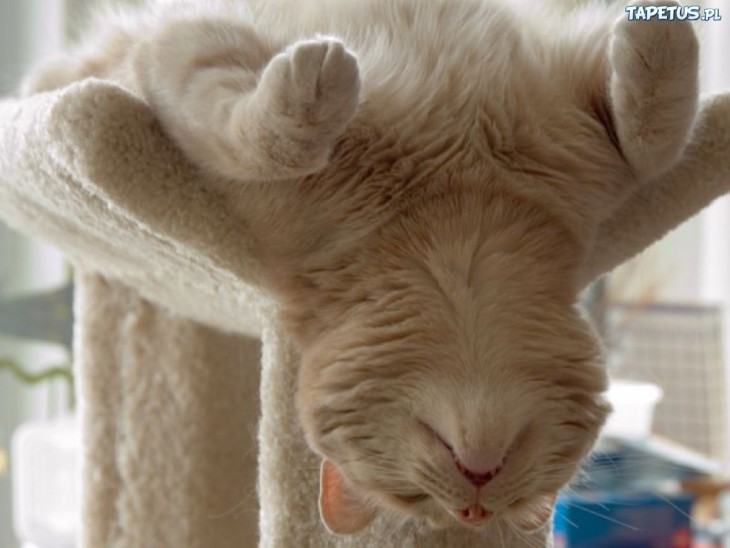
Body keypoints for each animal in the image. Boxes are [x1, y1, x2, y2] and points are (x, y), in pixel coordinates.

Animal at [19, 0, 696, 540]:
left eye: (519, 499)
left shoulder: (580, 116)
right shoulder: (192, 50)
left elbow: (657, 133)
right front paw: (317, 85)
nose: (472, 503)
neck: (459, 219)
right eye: (411, 497)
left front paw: (661, 37)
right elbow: (263, 136)